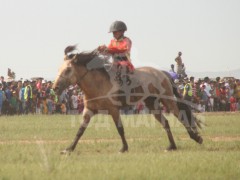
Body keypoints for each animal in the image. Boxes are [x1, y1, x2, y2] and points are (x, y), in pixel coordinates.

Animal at [52, 45, 202, 154]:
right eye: (59, 68)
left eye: (68, 70)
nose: (55, 87)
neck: (98, 84)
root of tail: (162, 73)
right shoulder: (88, 110)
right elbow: (80, 130)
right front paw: (69, 148)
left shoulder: (113, 109)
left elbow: (120, 128)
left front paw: (124, 148)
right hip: (152, 104)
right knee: (165, 122)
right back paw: (172, 146)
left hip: (168, 100)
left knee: (180, 116)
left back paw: (196, 137)